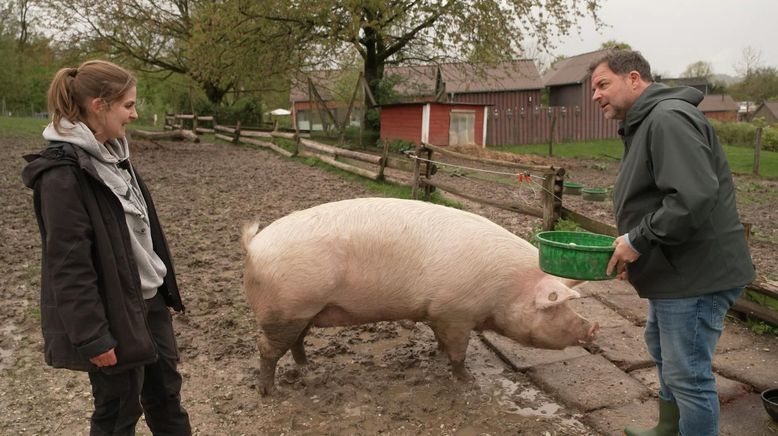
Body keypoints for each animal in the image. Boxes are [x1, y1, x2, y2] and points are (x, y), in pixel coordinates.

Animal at [239, 198, 596, 396]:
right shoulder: (456, 311)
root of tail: (253, 245)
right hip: (285, 309)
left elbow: (442, 340)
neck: (505, 288)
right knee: (266, 347)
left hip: (305, 310)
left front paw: (437, 355)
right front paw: (467, 380)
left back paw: (307, 366)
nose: (594, 328)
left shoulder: (438, 311)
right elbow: (459, 351)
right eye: (554, 307)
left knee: (296, 342)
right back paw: (268, 392)